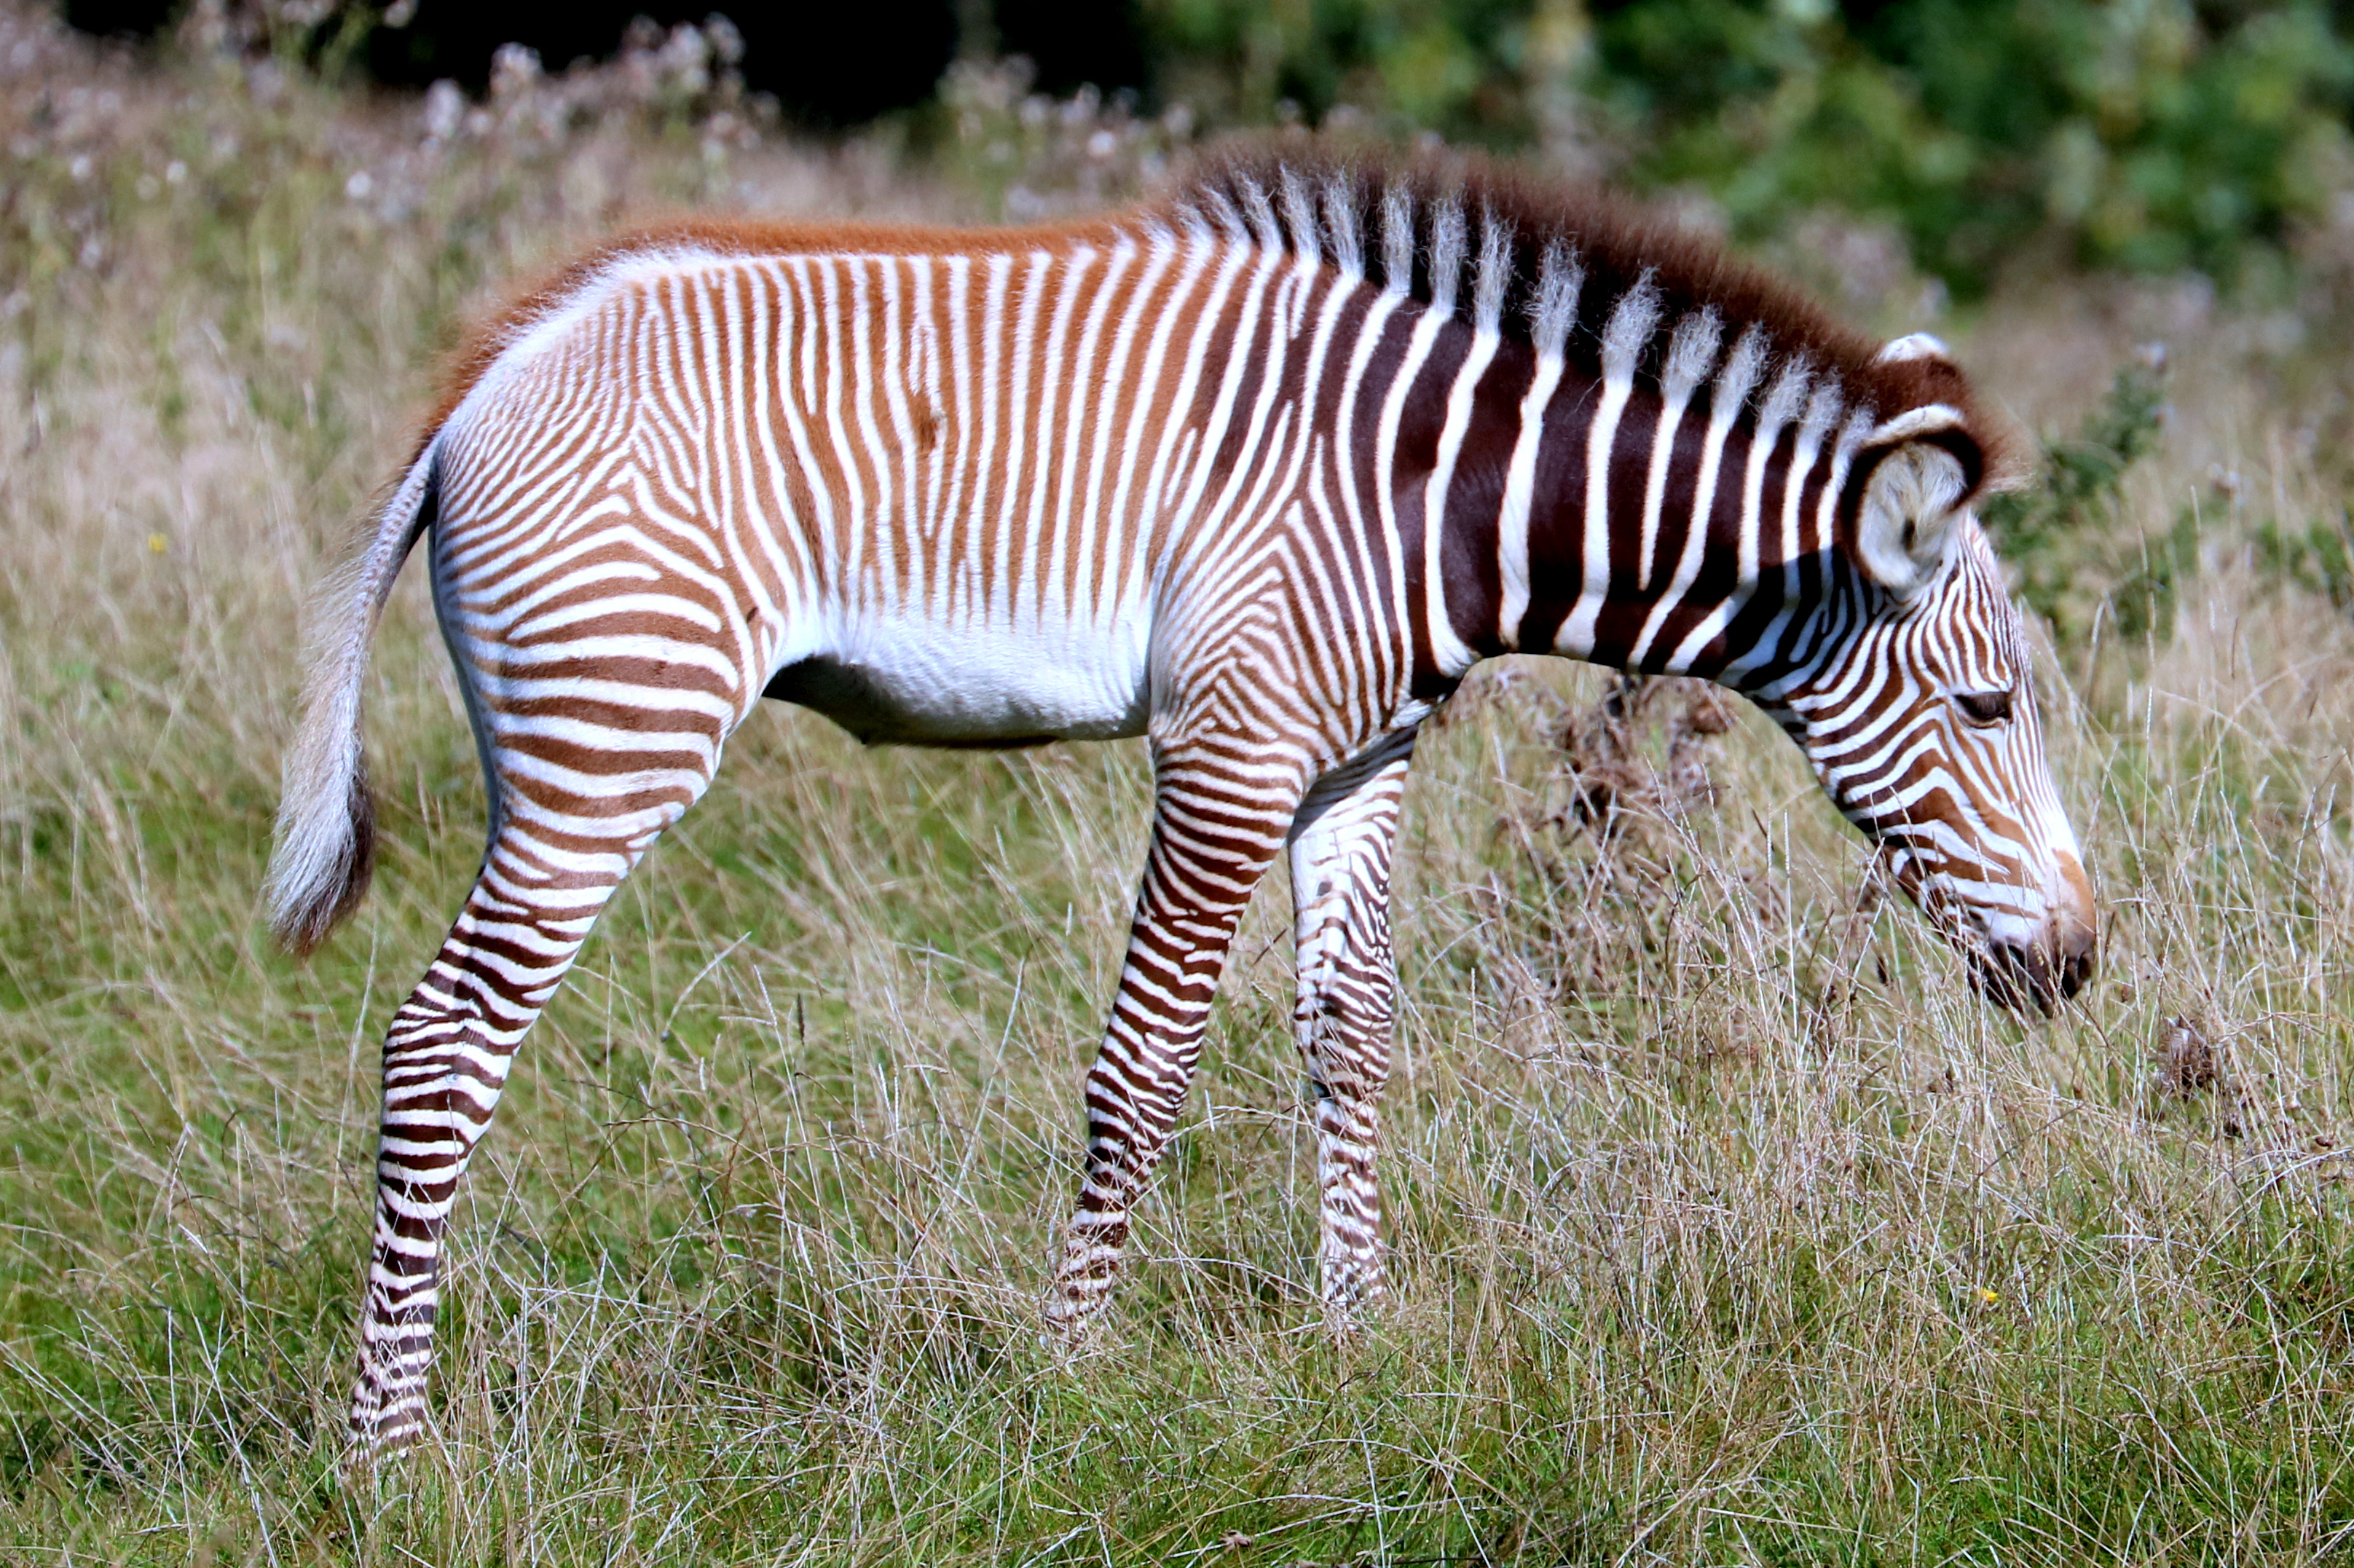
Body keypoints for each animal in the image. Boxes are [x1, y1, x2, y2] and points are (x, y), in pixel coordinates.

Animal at [269, 146, 2097, 1451]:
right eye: (1986, 702)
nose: (2078, 960)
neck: (1433, 492)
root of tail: (486, 379)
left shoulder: (1356, 756)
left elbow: (1347, 1030)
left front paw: (1360, 1331)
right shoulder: (1229, 744)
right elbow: (1140, 1067)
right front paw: (1069, 1375)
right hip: (614, 734)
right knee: (441, 1040)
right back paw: (388, 1448)